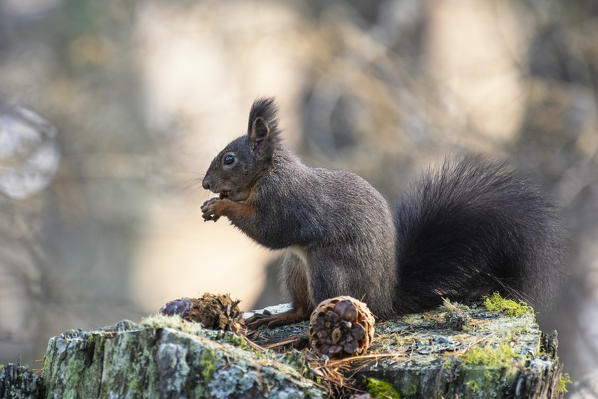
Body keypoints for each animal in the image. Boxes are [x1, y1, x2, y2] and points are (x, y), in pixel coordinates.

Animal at [202, 97, 564, 328]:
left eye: (229, 159)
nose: (206, 184)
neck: (270, 173)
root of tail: (386, 300)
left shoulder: (287, 201)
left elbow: (268, 230)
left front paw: (221, 205)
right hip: (296, 269)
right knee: (302, 309)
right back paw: (279, 317)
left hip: (329, 272)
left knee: (318, 310)